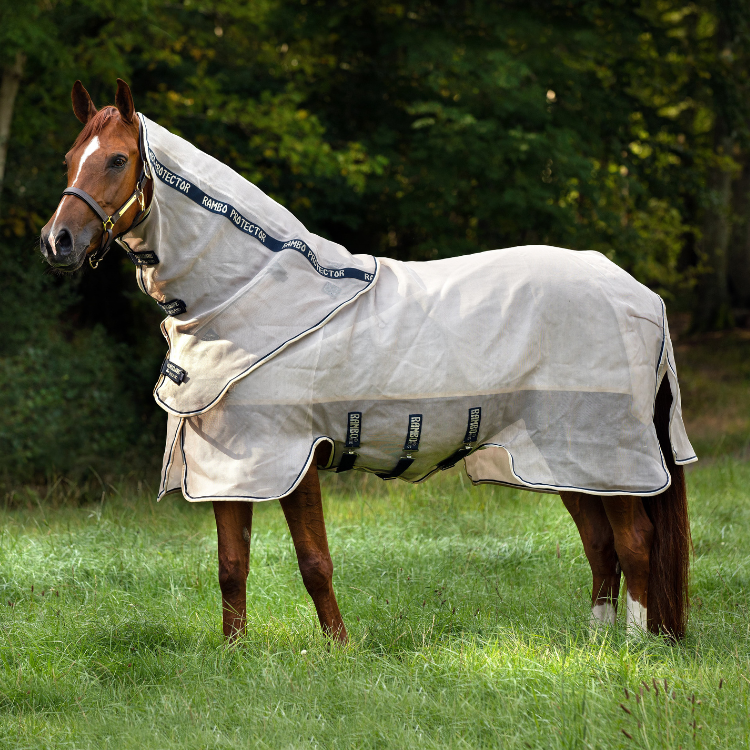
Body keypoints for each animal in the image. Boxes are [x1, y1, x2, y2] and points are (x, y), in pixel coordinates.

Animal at [40, 79, 693, 642]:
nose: (57, 242)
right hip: (562, 457)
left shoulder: (294, 455)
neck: (248, 292)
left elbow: (313, 561)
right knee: (602, 545)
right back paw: (598, 642)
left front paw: (339, 650)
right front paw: (233, 654)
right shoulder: (230, 467)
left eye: (118, 160)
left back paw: (635, 648)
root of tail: (640, 295)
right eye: (69, 158)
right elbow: (230, 566)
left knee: (634, 541)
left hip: (605, 449)